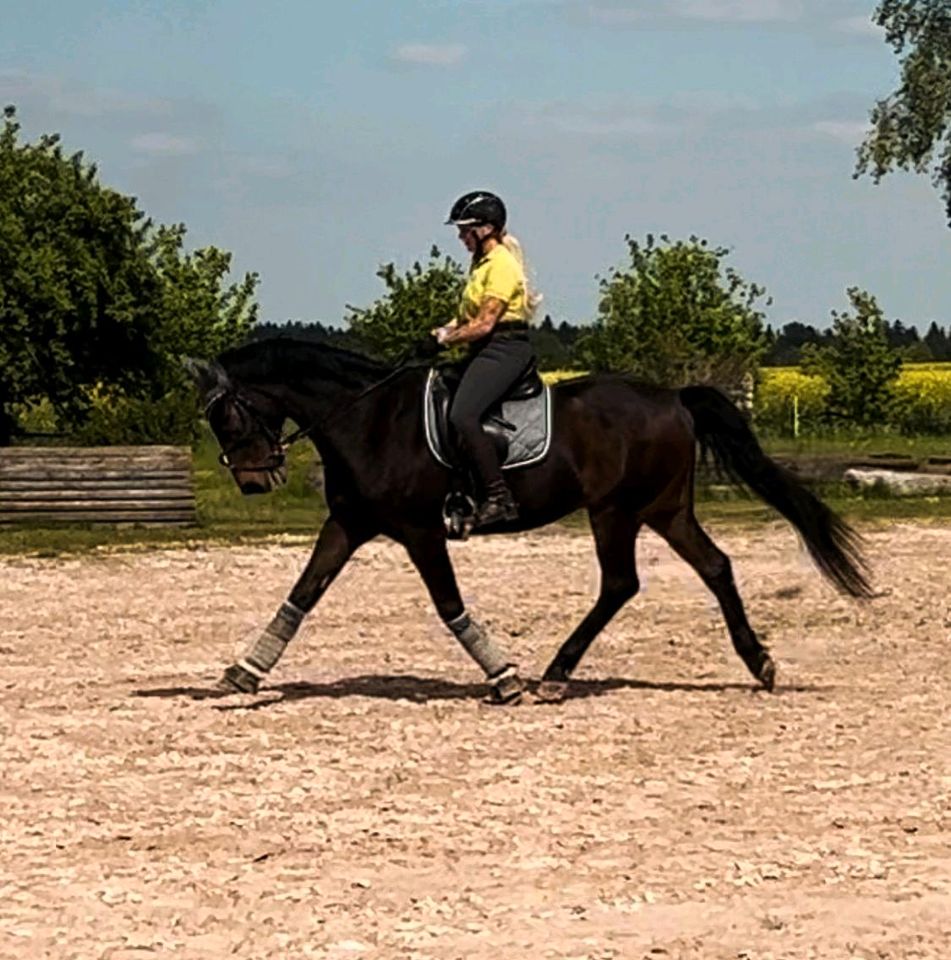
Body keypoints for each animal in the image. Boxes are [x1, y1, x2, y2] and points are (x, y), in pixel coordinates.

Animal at [182, 338, 872, 704]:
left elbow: (448, 604)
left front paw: (504, 675)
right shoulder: (349, 525)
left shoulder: (420, 531)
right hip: (662, 508)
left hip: (616, 509)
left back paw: (554, 676)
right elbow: (302, 594)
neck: (368, 418)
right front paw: (244, 671)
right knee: (713, 567)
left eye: (227, 416)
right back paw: (759, 664)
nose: (254, 480)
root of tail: (674, 397)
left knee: (621, 583)